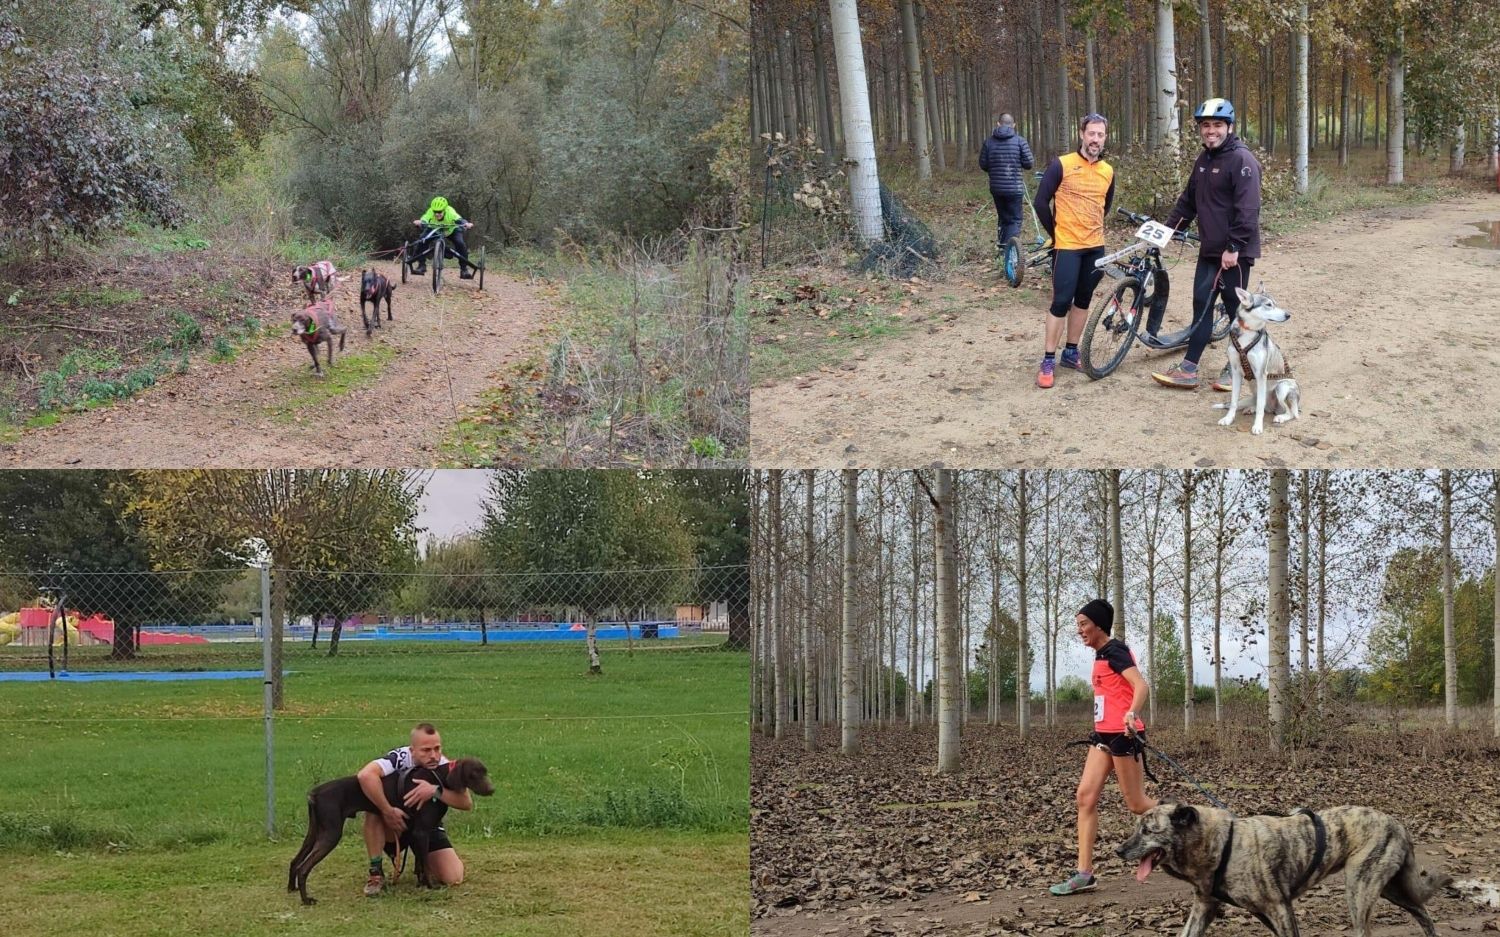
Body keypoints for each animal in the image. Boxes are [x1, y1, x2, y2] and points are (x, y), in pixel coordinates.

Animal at [283, 755, 489, 905]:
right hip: (331, 834)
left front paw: (421, 882)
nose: (492, 789)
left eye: (485, 772)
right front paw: (430, 886)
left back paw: (292, 888)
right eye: (474, 773)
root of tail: (314, 793)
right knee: (303, 868)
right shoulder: (421, 831)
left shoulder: (416, 833)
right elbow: (426, 864)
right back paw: (306, 899)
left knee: (295, 861)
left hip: (315, 832)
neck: (436, 780)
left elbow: (420, 863)